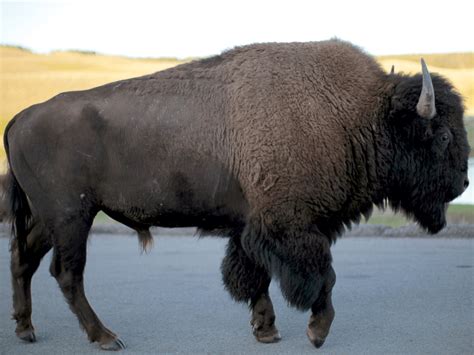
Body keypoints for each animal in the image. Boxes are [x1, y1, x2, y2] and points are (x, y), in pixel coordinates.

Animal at [2, 39, 470, 350]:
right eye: (444, 135)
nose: (464, 183)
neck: (356, 116)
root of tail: (19, 119)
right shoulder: (291, 226)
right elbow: (322, 276)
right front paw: (316, 332)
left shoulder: (251, 228)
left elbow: (252, 276)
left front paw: (267, 330)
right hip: (72, 218)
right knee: (67, 273)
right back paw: (105, 337)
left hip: (49, 219)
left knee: (25, 259)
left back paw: (26, 329)